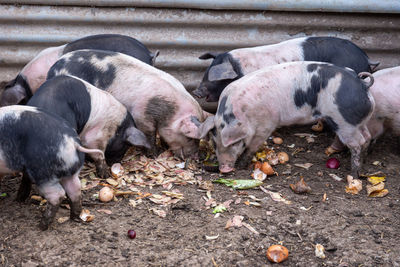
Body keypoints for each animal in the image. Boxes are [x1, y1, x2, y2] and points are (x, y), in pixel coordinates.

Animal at [47, 49, 209, 158]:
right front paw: (154, 154)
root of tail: (54, 67)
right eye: (189, 137)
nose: (195, 156)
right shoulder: (141, 115)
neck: (168, 109)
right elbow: (149, 135)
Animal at [198, 61, 376, 178]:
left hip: (345, 122)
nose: (224, 169)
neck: (244, 114)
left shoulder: (266, 124)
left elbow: (252, 147)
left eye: (235, 143)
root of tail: (362, 85)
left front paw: (242, 165)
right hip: (358, 122)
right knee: (367, 137)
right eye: (214, 143)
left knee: (358, 142)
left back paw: (354, 175)